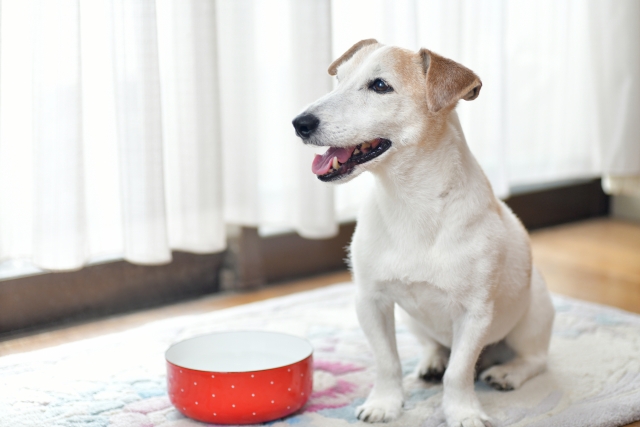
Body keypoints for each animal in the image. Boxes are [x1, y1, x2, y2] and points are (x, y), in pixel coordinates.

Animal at [292, 41, 552, 427]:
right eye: (339, 79)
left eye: (380, 86)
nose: (300, 123)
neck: (409, 203)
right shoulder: (371, 300)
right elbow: (387, 362)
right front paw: (385, 404)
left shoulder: (475, 314)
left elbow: (459, 374)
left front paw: (463, 412)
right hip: (413, 321)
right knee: (434, 345)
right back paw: (432, 361)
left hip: (533, 313)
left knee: (535, 360)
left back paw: (508, 372)